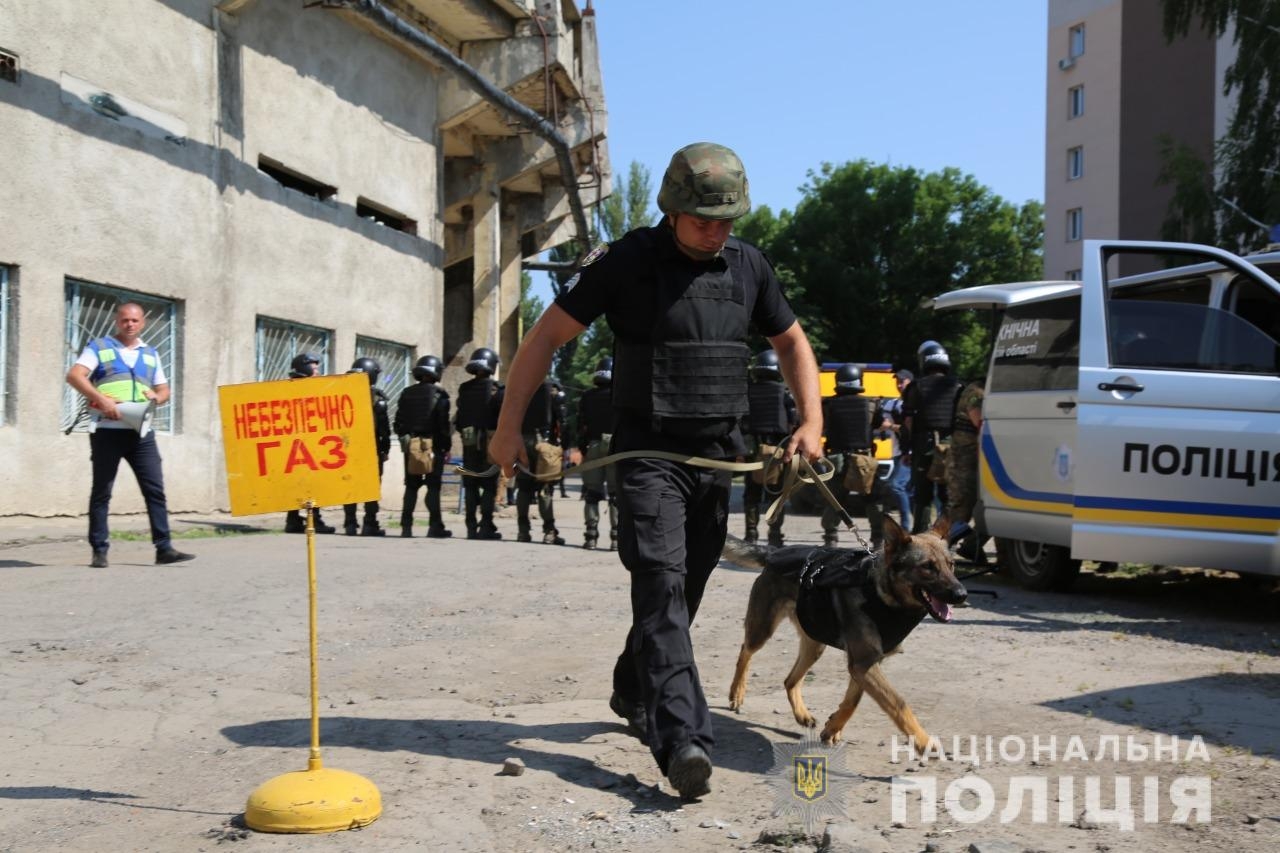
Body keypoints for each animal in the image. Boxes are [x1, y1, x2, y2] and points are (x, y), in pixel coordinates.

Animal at [727, 512, 962, 742]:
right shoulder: (863, 663)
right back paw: (737, 693)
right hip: (762, 629)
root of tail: (775, 552)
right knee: (745, 650)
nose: (962, 594)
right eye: (927, 567)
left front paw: (832, 728)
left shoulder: (865, 664)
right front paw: (924, 742)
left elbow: (852, 701)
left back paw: (802, 714)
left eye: (951, 564)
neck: (881, 594)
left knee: (790, 680)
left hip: (815, 643)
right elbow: (898, 703)